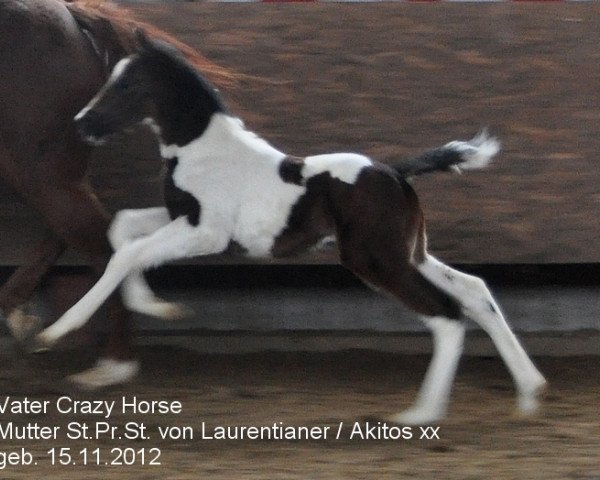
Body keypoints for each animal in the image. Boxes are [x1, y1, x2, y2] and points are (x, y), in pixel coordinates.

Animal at [36, 33, 544, 422]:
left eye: (128, 83)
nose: (82, 123)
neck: (202, 151)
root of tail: (398, 173)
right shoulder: (183, 217)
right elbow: (123, 231)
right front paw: (159, 306)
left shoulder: (208, 231)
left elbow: (128, 252)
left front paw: (57, 330)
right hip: (408, 252)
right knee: (475, 291)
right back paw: (530, 393)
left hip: (374, 259)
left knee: (447, 314)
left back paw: (423, 414)